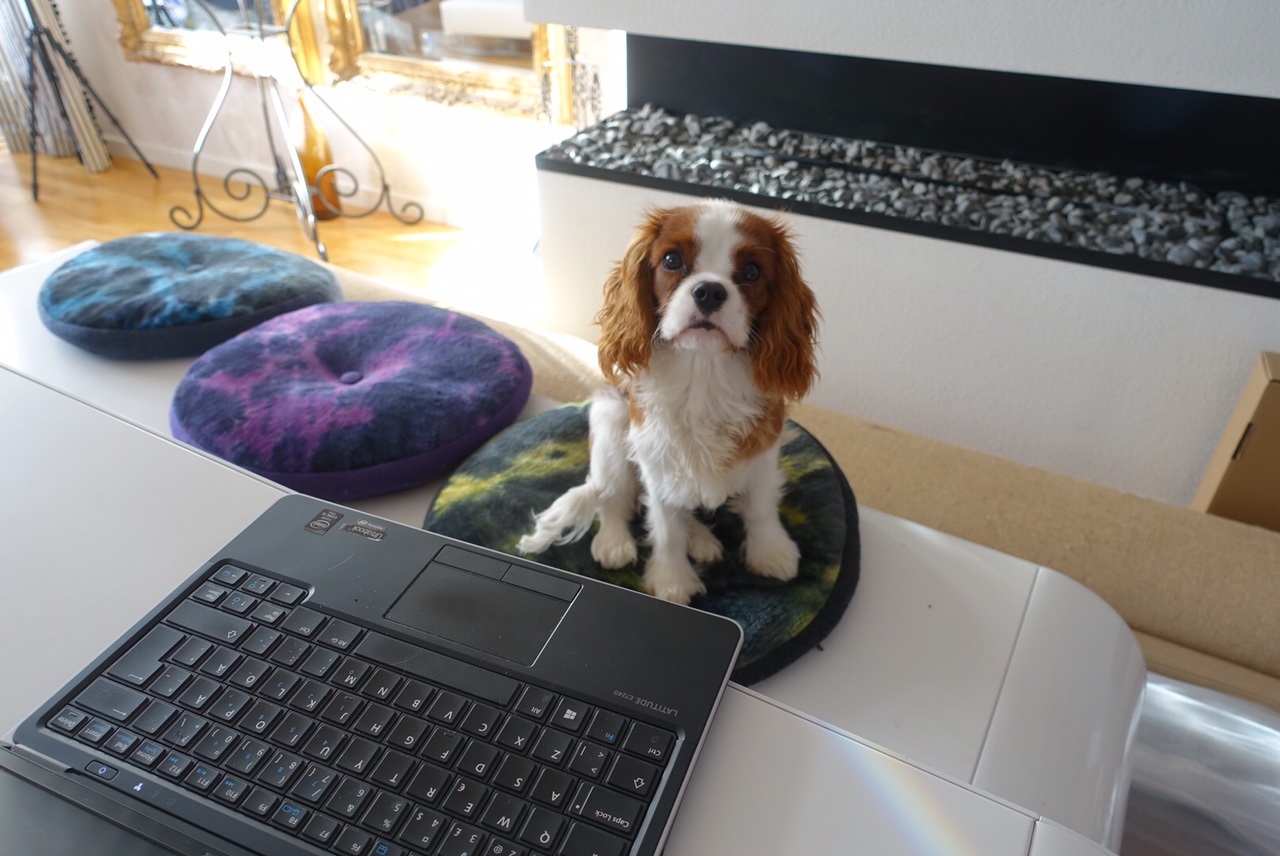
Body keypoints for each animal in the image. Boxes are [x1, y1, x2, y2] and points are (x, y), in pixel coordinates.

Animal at [518, 199, 819, 604]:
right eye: (672, 260)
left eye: (752, 271)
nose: (709, 291)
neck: (703, 372)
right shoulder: (657, 459)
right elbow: (665, 527)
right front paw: (672, 580)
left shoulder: (762, 451)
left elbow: (760, 507)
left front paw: (770, 552)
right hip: (611, 425)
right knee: (612, 497)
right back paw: (614, 543)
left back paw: (702, 540)